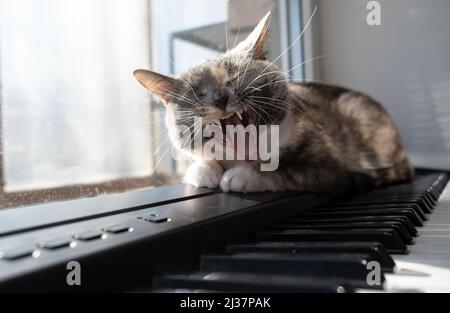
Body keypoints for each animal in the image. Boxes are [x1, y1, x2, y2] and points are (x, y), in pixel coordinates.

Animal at [132, 11, 414, 193]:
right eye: (198, 93)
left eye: (233, 78)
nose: (220, 97)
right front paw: (203, 170)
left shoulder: (328, 162)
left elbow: (290, 171)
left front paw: (241, 177)